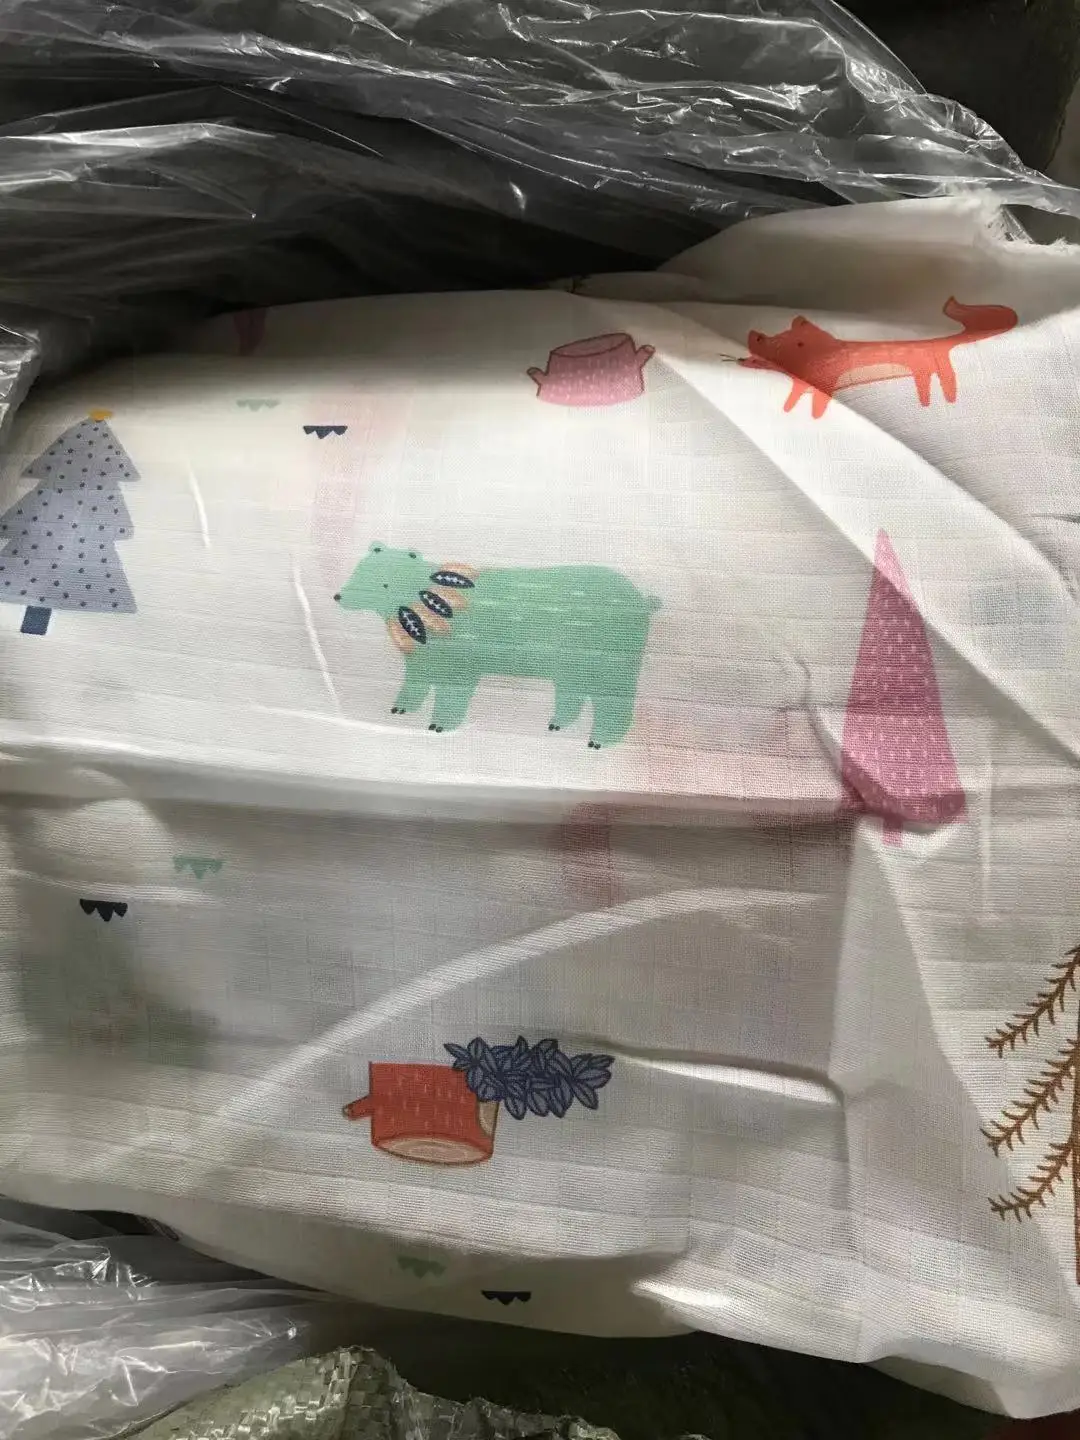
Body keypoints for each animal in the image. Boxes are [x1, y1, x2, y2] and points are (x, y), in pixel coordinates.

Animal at [741, 297, 1017, 418]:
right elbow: (796, 398)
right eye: (772, 344)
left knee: (945, 382)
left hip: (932, 368)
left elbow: (815, 403)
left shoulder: (826, 381)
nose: (753, 338)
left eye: (798, 343)